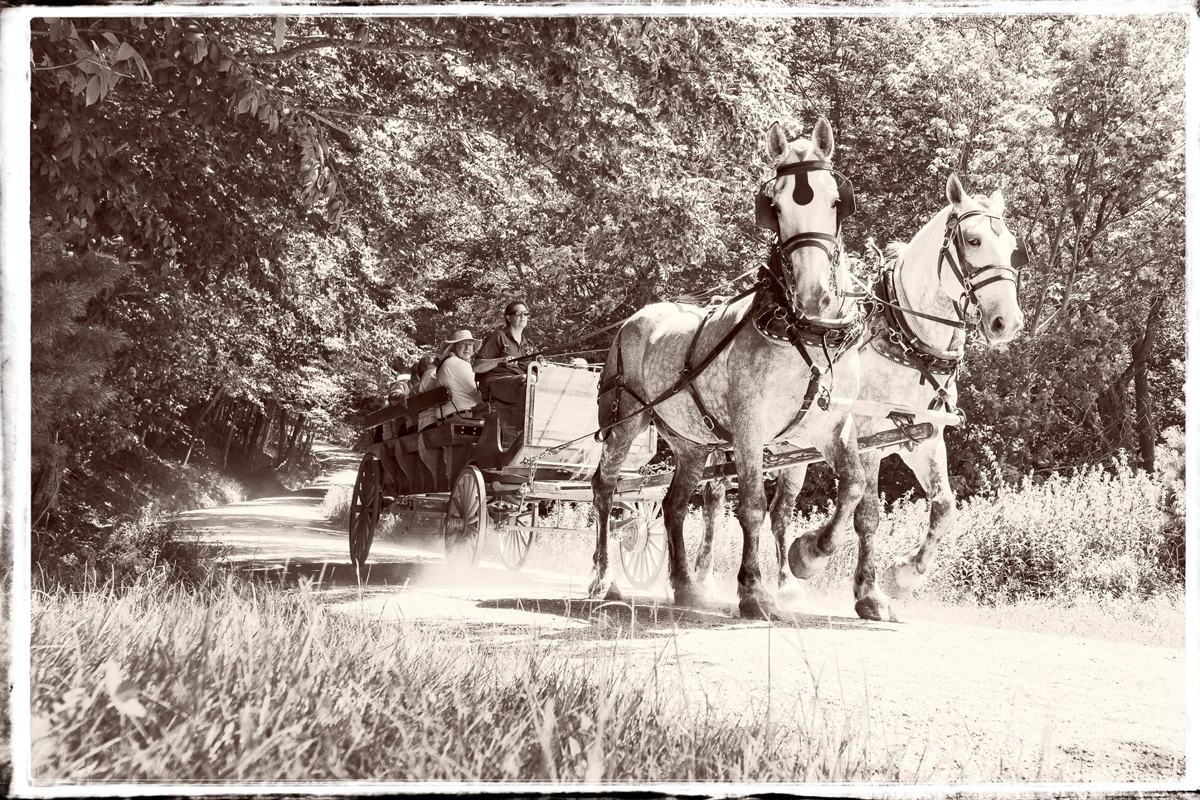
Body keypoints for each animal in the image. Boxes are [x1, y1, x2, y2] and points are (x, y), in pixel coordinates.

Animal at [588, 117, 883, 618]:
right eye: (775, 206)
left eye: (835, 200)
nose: (813, 293)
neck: (803, 331)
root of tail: (635, 318)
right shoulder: (749, 428)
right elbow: (752, 506)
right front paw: (755, 590)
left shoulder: (833, 427)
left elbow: (854, 488)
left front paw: (810, 554)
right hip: (626, 420)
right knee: (606, 486)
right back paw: (605, 581)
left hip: (690, 443)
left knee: (673, 502)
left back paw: (686, 585)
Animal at [700, 172, 1027, 618]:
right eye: (973, 240)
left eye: (1012, 248)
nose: (1006, 322)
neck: (907, 341)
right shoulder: (865, 437)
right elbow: (867, 514)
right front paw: (856, 583)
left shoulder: (924, 438)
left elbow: (944, 508)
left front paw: (902, 576)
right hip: (725, 438)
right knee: (714, 496)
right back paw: (702, 576)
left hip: (791, 449)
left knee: (780, 511)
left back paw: (785, 585)